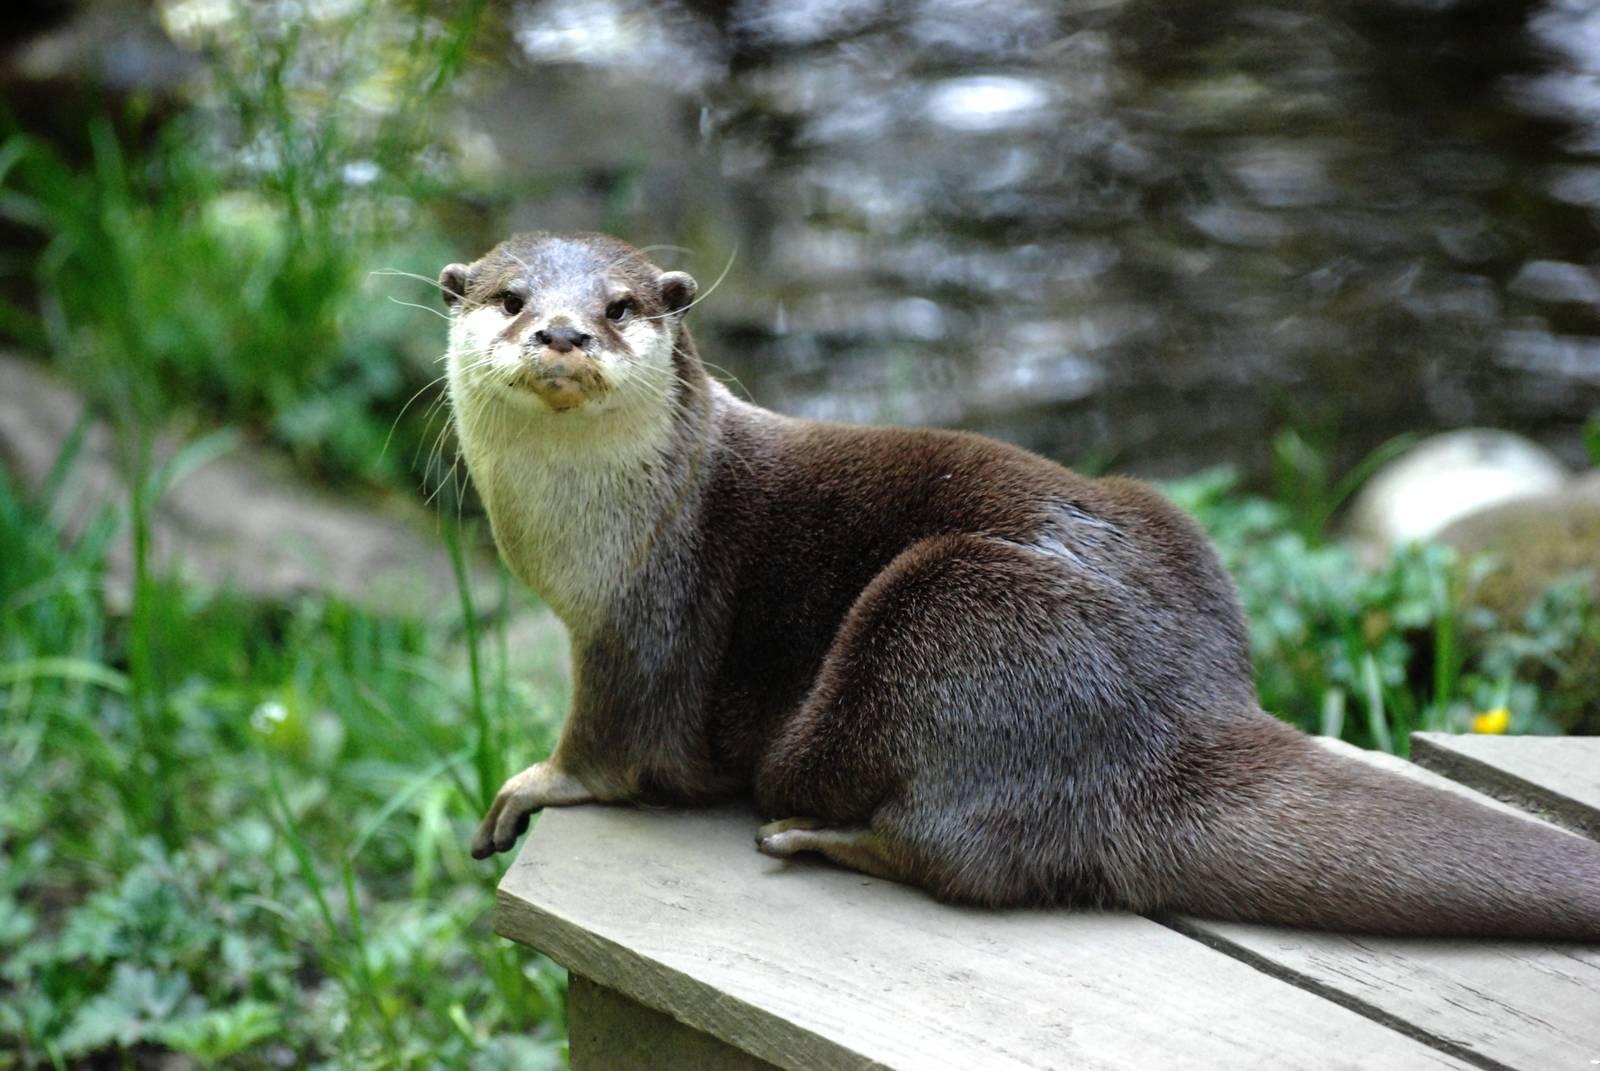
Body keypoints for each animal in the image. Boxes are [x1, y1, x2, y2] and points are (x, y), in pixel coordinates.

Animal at [440, 231, 1600, 938]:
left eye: (621, 305)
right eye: (510, 297)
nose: (562, 333)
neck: (592, 532)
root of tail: (1186, 717)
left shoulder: (647, 616)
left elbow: (605, 746)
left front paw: (532, 785)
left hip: (953, 605)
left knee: (970, 861)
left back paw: (814, 835)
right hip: (1157, 519)